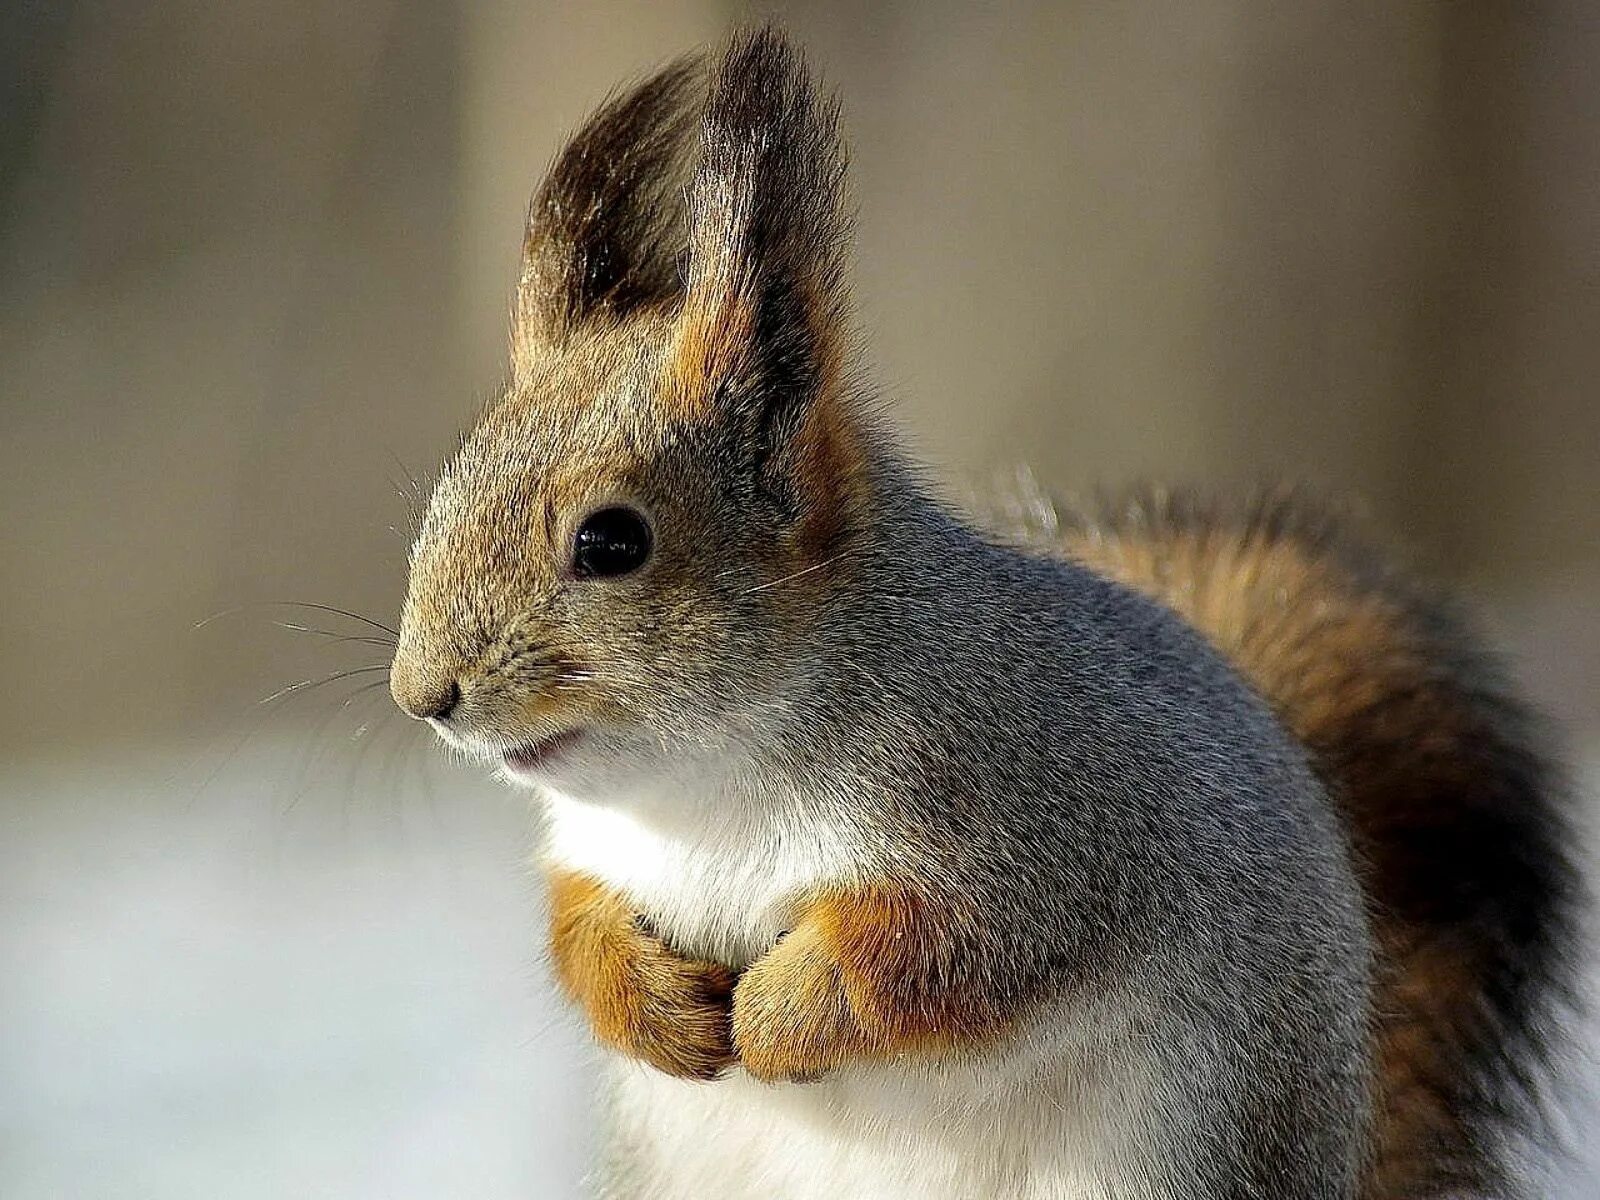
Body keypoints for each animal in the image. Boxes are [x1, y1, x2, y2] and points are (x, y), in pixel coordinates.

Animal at [387, 28, 1574, 1200]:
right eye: (447, 489)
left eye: (611, 542)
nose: (422, 696)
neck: (707, 789)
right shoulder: (594, 855)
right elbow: (577, 928)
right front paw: (655, 1008)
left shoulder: (1046, 840)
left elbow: (937, 957)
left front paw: (777, 1016)